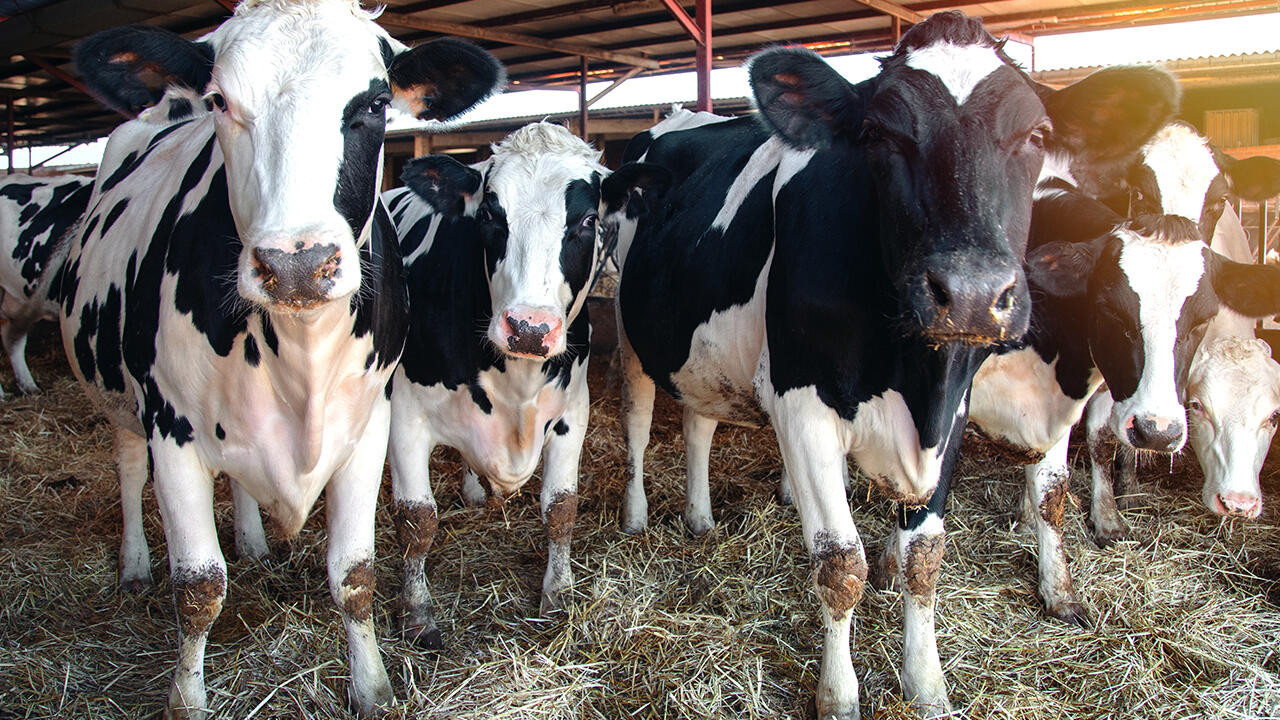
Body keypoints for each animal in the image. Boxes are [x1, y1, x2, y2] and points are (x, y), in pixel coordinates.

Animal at [60, 2, 501, 712]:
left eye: (375, 103)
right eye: (220, 100)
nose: (296, 264)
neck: (301, 353)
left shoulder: (367, 426)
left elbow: (354, 573)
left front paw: (372, 686)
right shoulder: (171, 430)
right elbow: (198, 589)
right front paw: (186, 701)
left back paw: (254, 543)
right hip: (119, 396)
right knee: (128, 469)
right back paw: (133, 565)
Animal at [378, 121, 604, 645]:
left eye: (588, 220)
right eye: (488, 212)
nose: (529, 328)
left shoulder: (573, 411)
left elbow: (561, 509)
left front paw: (558, 594)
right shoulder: (404, 417)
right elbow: (417, 519)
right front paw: (417, 612)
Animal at [599, 14, 1177, 712]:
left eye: (1036, 135)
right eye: (879, 134)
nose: (972, 293)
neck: (913, 376)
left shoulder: (952, 411)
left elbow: (924, 557)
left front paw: (927, 686)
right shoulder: (802, 407)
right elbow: (839, 563)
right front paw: (840, 695)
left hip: (706, 350)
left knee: (700, 421)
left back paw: (701, 518)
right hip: (629, 332)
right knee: (636, 422)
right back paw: (635, 518)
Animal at [962, 119, 1280, 622]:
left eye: (1201, 321)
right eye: (1112, 313)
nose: (1159, 432)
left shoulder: (1088, 389)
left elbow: (1076, 464)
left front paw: (1081, 553)